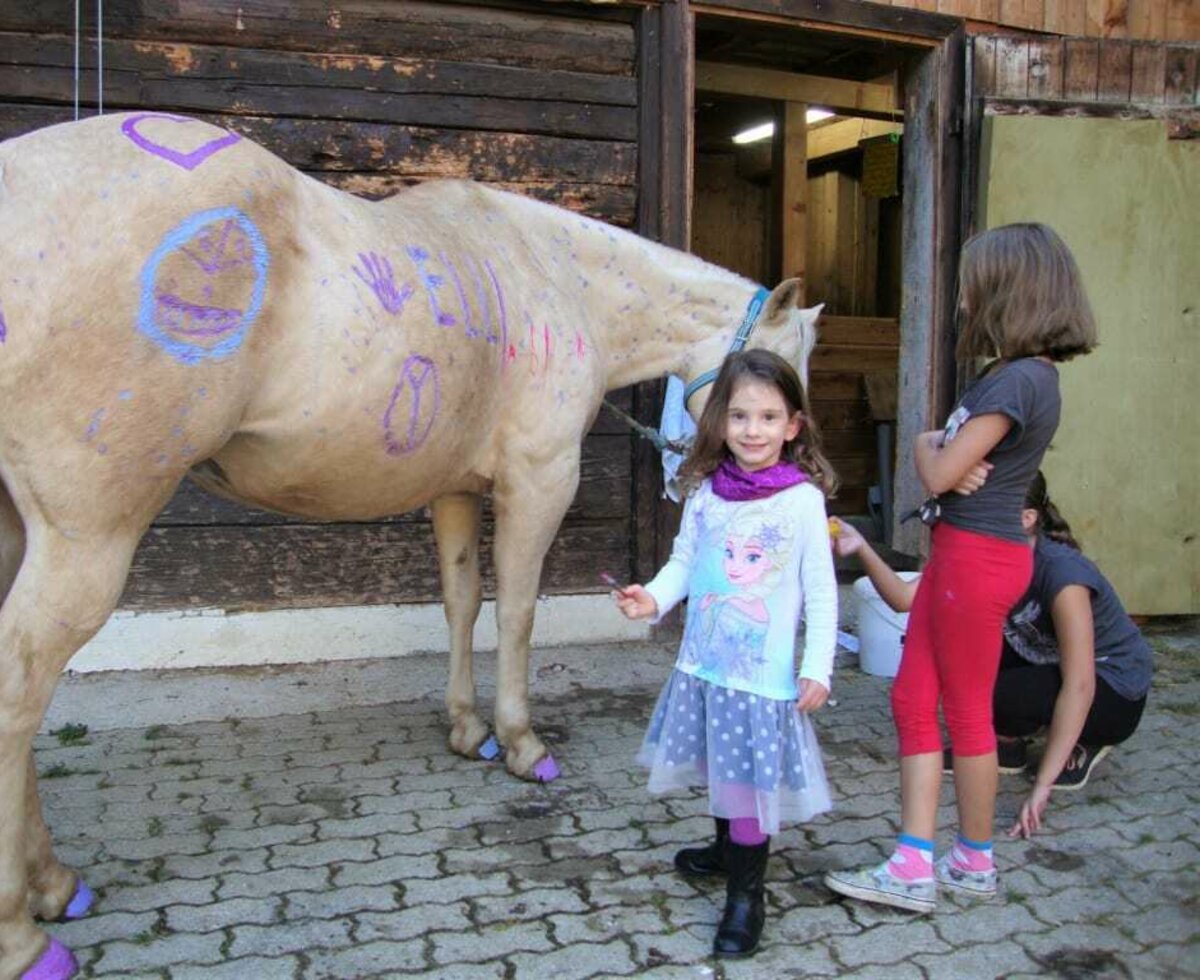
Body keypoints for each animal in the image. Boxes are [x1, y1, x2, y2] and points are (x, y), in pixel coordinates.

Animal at [0, 110, 820, 974]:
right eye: (780, 372)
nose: (797, 461)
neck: (559, 277)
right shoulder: (538, 482)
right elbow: (517, 612)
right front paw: (521, 743)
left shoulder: (455, 490)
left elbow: (461, 603)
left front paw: (468, 730)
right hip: (87, 536)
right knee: (19, 689)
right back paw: (24, 935)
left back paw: (53, 884)